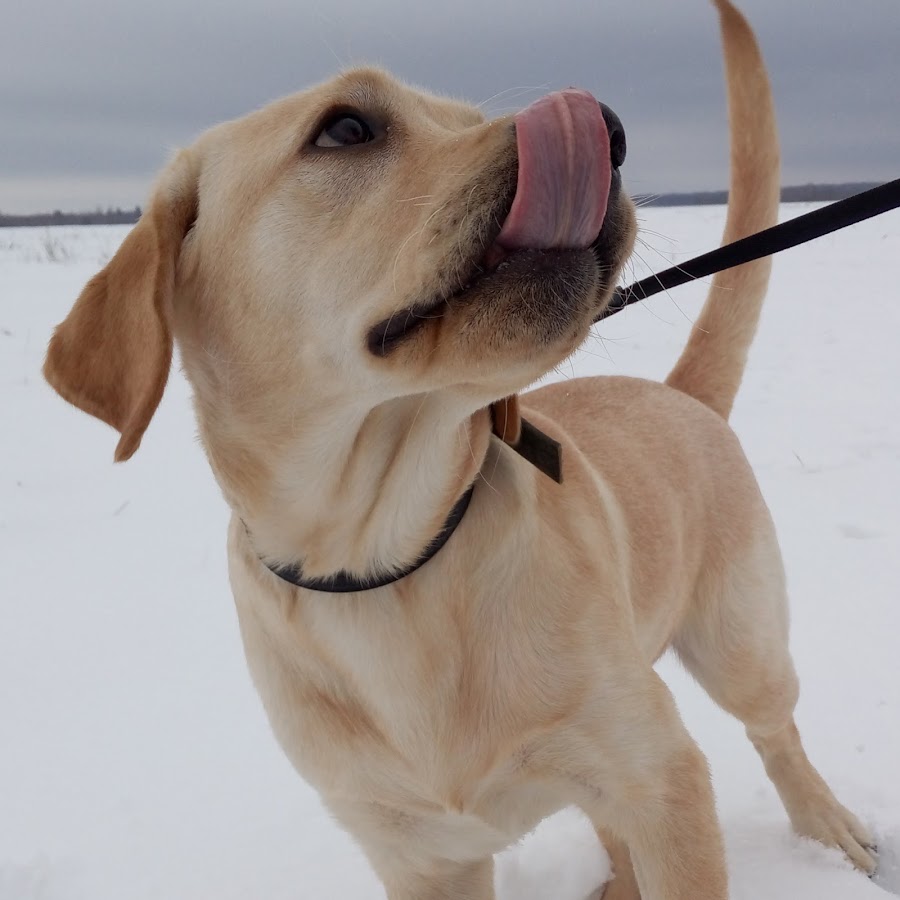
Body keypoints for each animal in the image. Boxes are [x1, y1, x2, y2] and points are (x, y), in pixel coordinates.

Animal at [44, 3, 880, 896]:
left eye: (468, 119)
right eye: (346, 127)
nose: (607, 127)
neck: (386, 559)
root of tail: (678, 392)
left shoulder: (659, 777)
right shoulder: (420, 855)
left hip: (739, 642)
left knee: (776, 732)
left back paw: (830, 828)